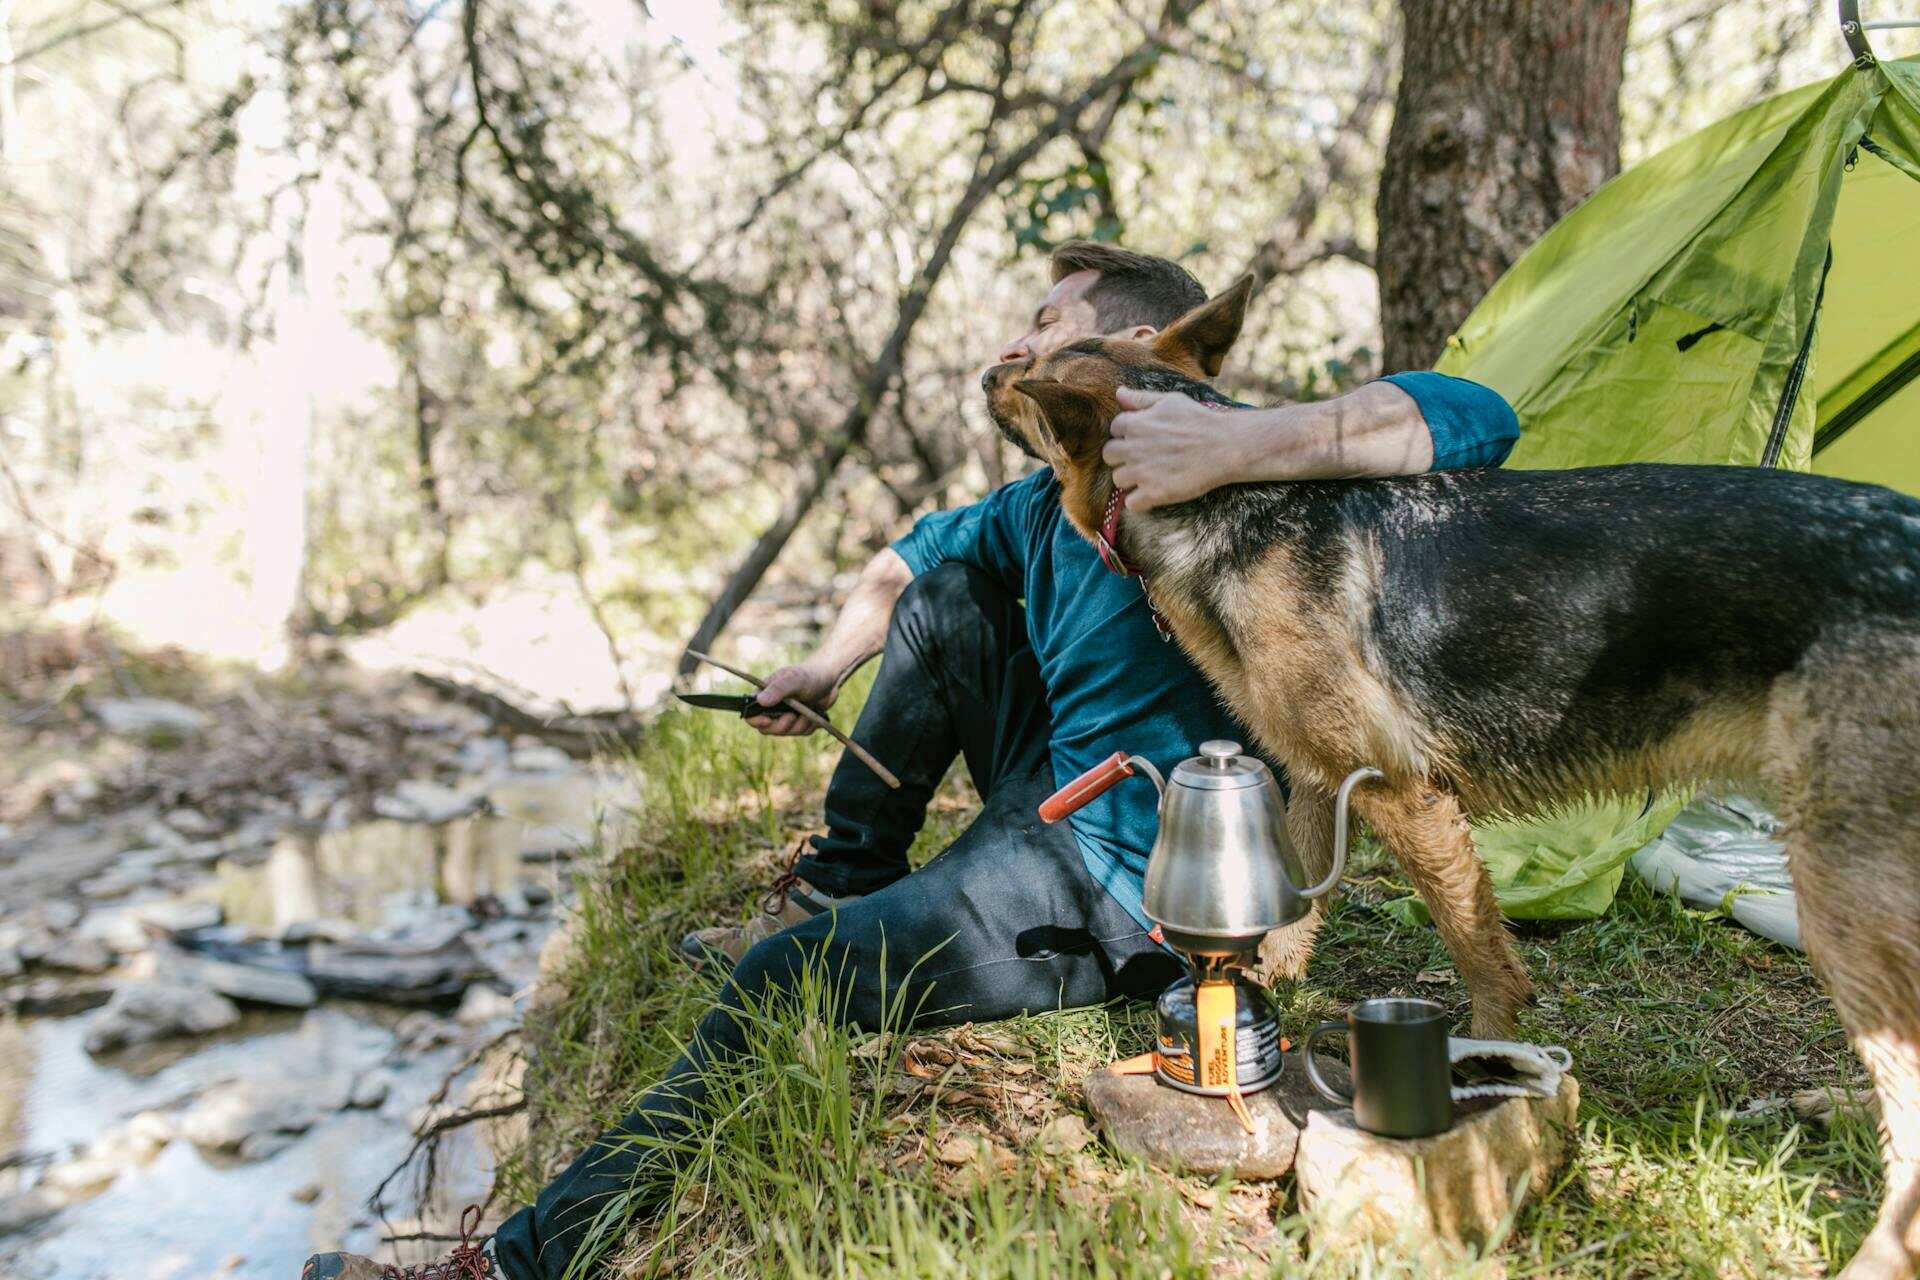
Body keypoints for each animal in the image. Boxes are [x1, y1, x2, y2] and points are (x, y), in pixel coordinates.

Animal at [990, 278, 1920, 1274]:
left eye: (1038, 361)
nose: (991, 369)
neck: (1231, 505)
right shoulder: (1311, 784)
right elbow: (1289, 928)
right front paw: (1253, 1005)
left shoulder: (1402, 796)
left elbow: (1482, 958)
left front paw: (1491, 1062)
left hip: (1841, 893)